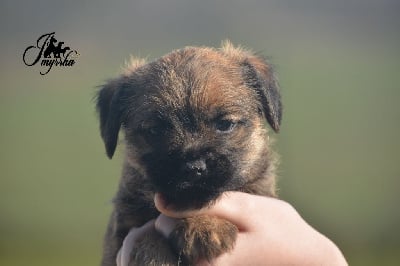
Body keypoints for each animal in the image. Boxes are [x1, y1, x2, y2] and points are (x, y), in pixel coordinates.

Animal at [97, 40, 282, 264]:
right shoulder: (120, 234)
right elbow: (148, 237)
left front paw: (205, 226)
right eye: (155, 130)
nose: (194, 167)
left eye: (225, 124)